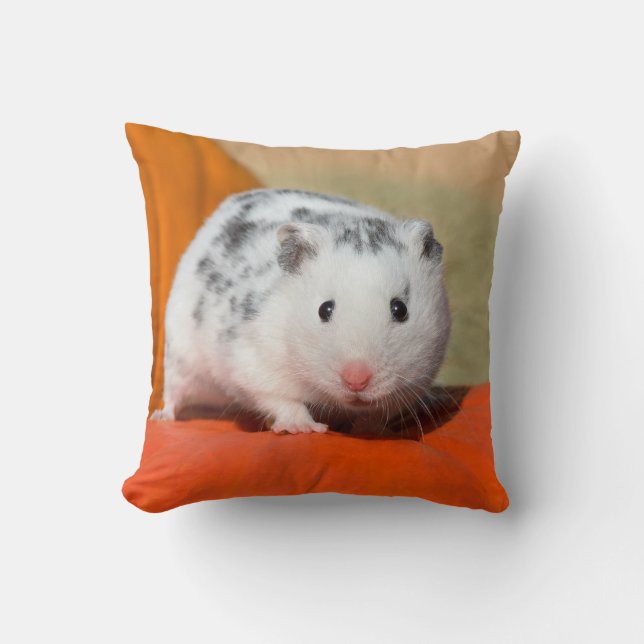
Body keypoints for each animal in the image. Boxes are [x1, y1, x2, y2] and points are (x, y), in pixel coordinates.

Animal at [153, 188, 451, 434]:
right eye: (324, 309)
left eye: (400, 309)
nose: (356, 381)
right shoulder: (254, 363)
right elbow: (282, 399)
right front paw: (304, 428)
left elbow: (374, 416)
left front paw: (374, 431)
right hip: (180, 356)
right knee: (173, 393)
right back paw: (161, 417)